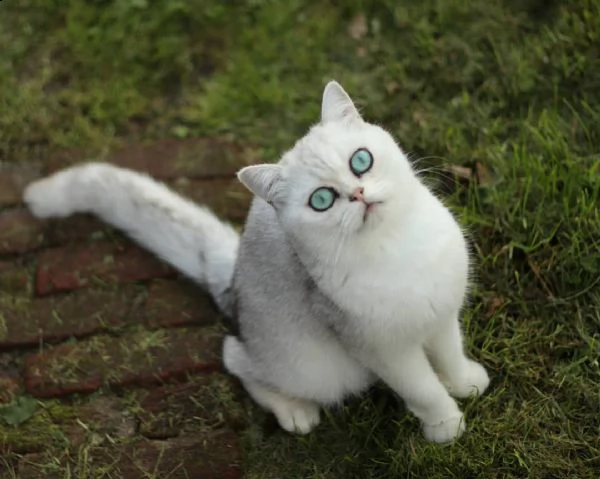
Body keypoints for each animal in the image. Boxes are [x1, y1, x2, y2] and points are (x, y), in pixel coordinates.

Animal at [24, 81, 492, 442]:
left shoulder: (441, 315)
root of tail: (233, 275)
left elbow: (450, 355)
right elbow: (423, 389)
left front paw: (465, 382)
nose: (358, 195)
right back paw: (295, 412)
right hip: (319, 369)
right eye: (322, 200)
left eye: (361, 160)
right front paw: (445, 425)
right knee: (236, 358)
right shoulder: (384, 351)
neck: (396, 247)